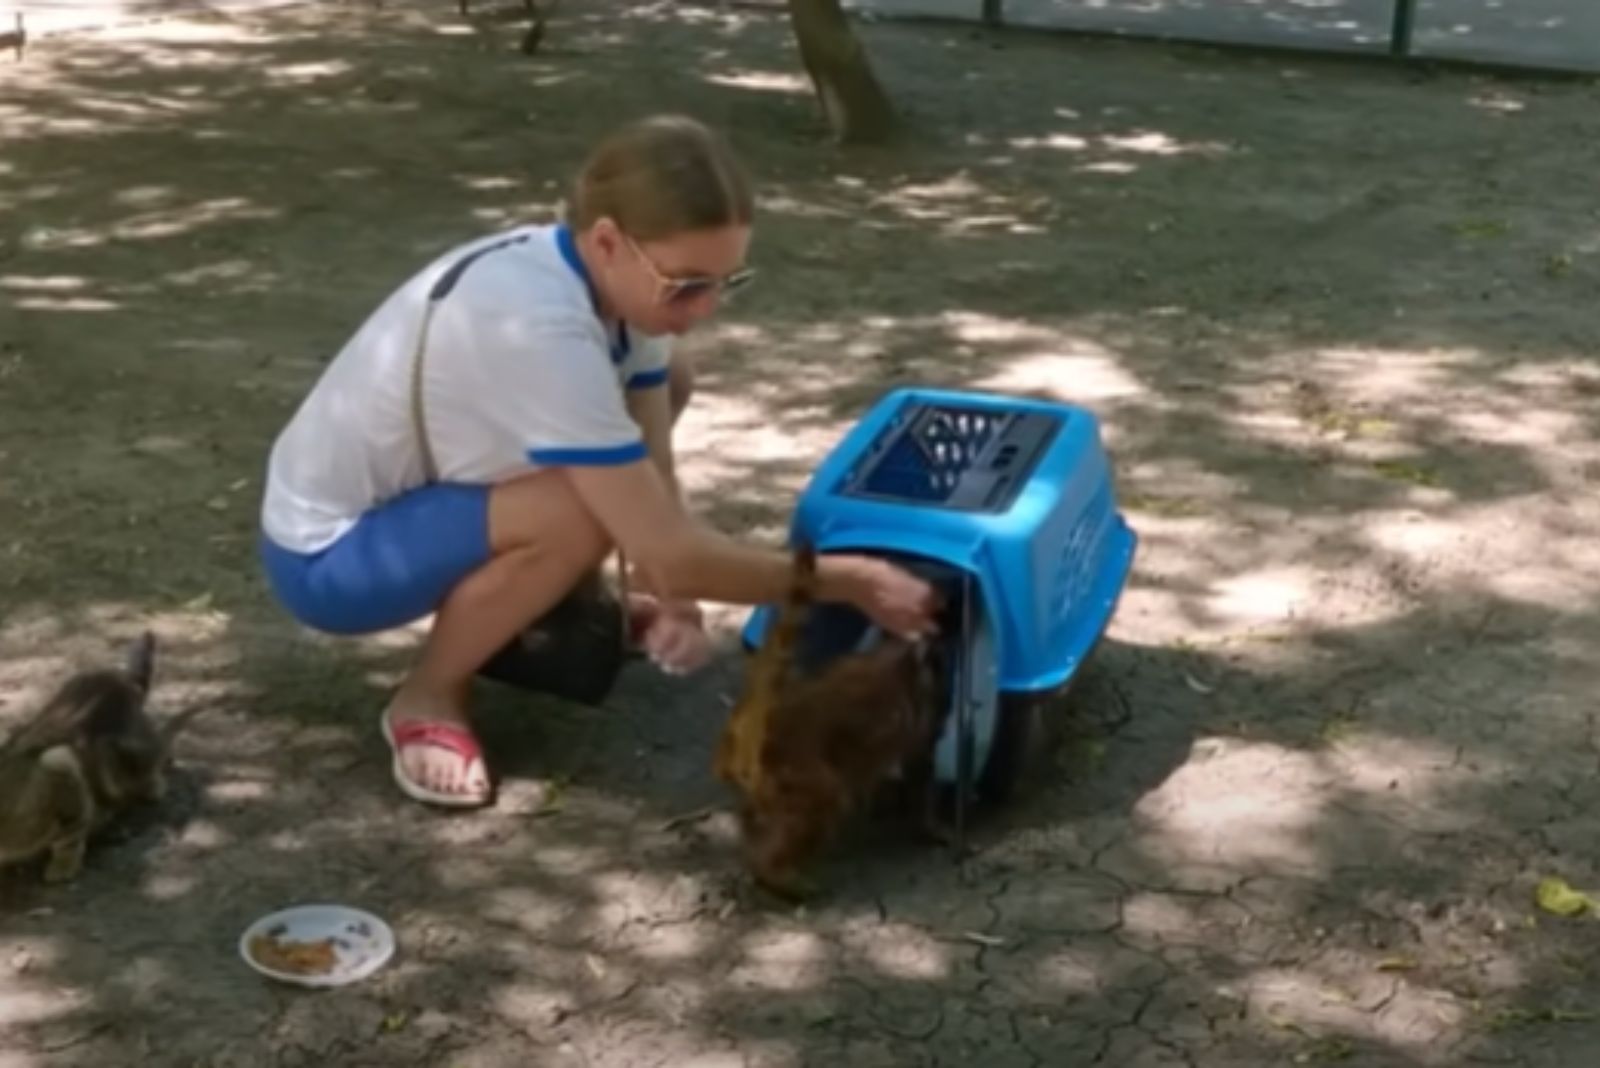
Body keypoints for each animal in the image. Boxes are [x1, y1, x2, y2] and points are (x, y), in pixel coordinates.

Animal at [0, 633, 168, 882]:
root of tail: (121, 677)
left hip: (134, 752)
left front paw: (63, 866)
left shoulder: (61, 766)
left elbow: (69, 836)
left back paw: (152, 787)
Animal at [716, 543, 947, 901]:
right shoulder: (922, 708)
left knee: (755, 816)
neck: (899, 652)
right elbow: (920, 768)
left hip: (761, 783)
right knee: (827, 800)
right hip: (800, 772)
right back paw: (775, 872)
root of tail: (766, 722)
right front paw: (930, 826)